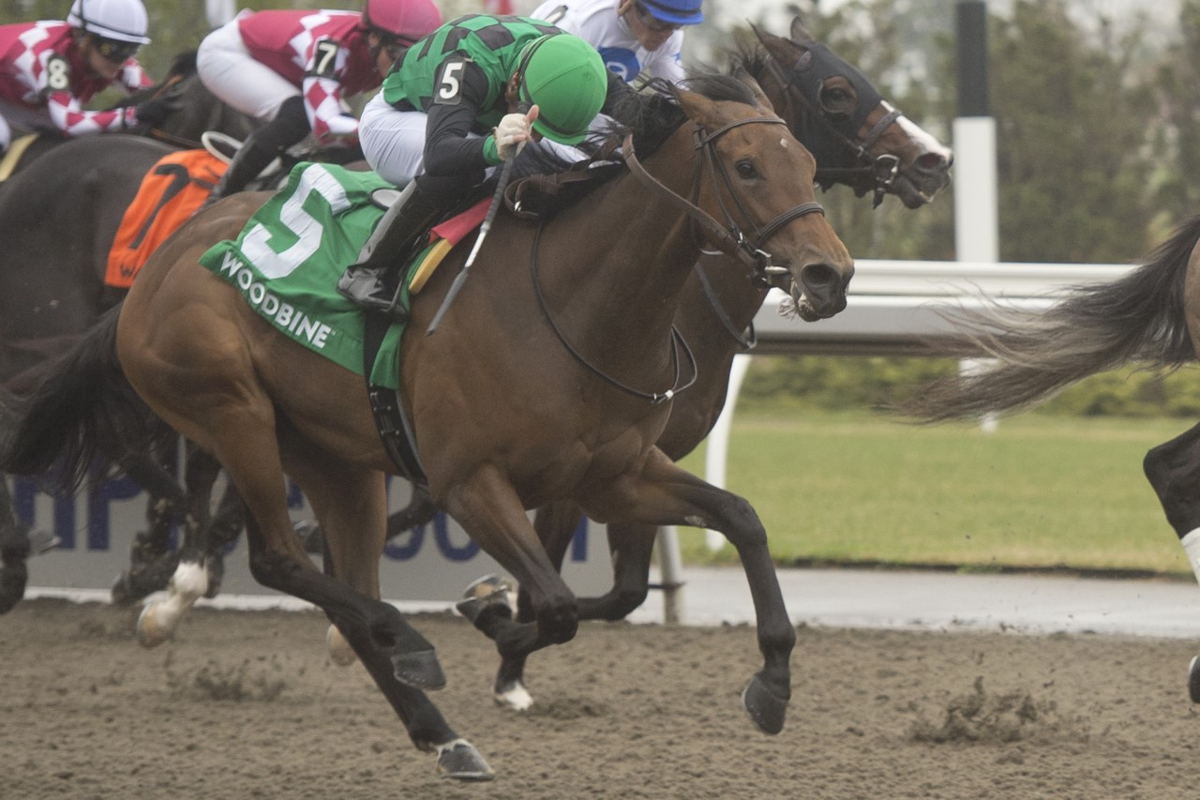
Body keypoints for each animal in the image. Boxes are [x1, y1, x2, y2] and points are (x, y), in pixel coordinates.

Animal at [4, 73, 859, 777]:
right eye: (746, 167)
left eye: (806, 164)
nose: (830, 274)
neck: (576, 303)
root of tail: (156, 270)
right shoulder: (469, 481)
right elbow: (552, 603)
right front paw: (493, 620)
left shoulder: (613, 475)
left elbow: (740, 521)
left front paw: (773, 682)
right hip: (232, 409)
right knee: (279, 559)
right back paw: (387, 638)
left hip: (337, 461)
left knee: (336, 582)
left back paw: (440, 733)